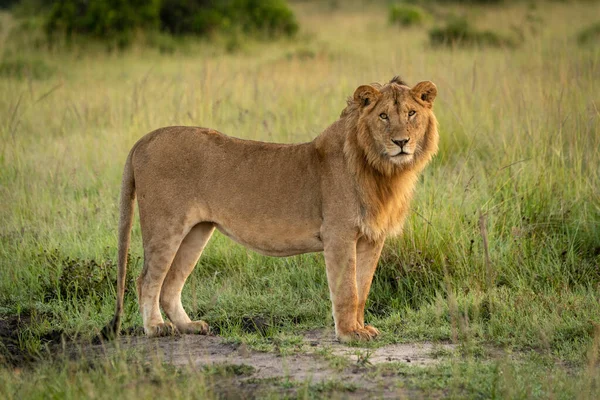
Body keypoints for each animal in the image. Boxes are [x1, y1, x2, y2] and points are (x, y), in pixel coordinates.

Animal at [105, 76, 438, 342]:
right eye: (383, 116)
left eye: (411, 113)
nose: (401, 142)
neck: (383, 171)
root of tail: (145, 139)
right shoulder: (339, 235)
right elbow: (347, 290)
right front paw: (348, 334)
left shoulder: (371, 238)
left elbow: (363, 288)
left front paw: (361, 328)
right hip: (166, 225)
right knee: (146, 280)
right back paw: (155, 328)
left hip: (197, 231)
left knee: (171, 283)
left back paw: (189, 326)